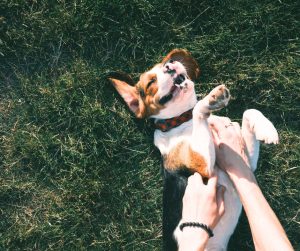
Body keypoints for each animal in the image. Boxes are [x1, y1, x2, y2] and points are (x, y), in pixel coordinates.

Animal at [109, 49, 278, 251]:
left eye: (167, 62)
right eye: (150, 82)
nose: (170, 65)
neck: (183, 121)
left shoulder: (246, 164)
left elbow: (249, 111)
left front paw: (267, 129)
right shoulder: (203, 166)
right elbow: (199, 107)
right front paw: (211, 100)